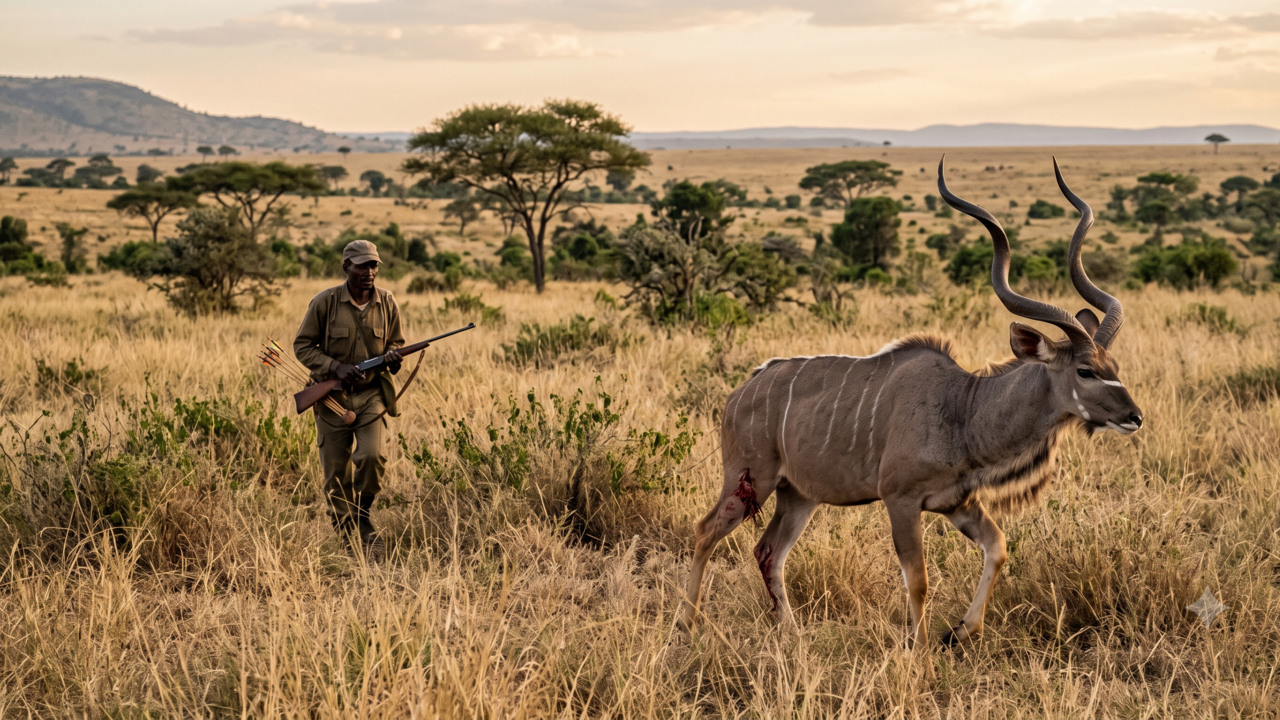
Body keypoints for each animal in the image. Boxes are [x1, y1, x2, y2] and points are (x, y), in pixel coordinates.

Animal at [677, 158, 1144, 647]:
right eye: (1085, 371)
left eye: (1113, 364)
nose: (1134, 417)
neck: (963, 410)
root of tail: (741, 391)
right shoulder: (900, 500)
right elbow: (917, 579)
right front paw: (920, 651)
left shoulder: (957, 502)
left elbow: (997, 547)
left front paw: (961, 631)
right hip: (750, 480)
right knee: (706, 531)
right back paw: (687, 625)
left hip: (799, 495)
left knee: (769, 550)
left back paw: (792, 632)